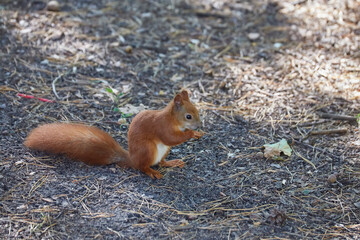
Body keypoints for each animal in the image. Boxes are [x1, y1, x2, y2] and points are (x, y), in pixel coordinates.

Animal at [23, 91, 204, 179]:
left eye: (197, 111)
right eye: (188, 116)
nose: (199, 125)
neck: (173, 120)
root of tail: (132, 158)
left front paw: (197, 133)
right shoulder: (161, 127)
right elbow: (170, 138)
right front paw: (191, 133)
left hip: (163, 151)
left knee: (161, 162)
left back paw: (171, 162)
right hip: (148, 149)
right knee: (143, 166)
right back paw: (151, 172)